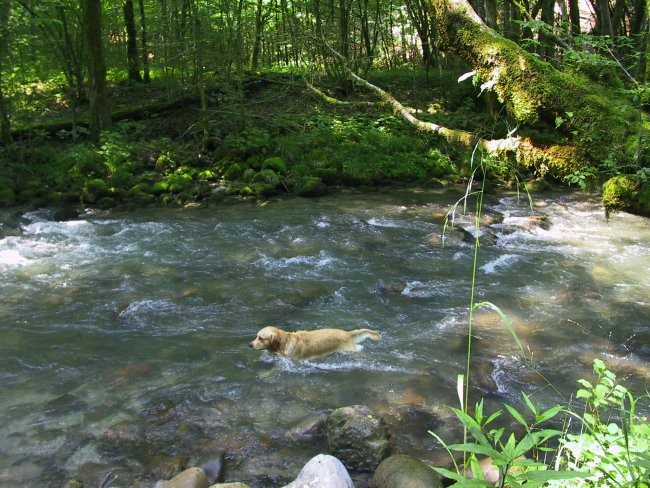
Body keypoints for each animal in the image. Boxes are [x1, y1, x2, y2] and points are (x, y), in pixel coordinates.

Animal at [248, 326, 380, 360]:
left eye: (261, 338)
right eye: (256, 336)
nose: (250, 345)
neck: (285, 342)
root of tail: (347, 333)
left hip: (349, 351)